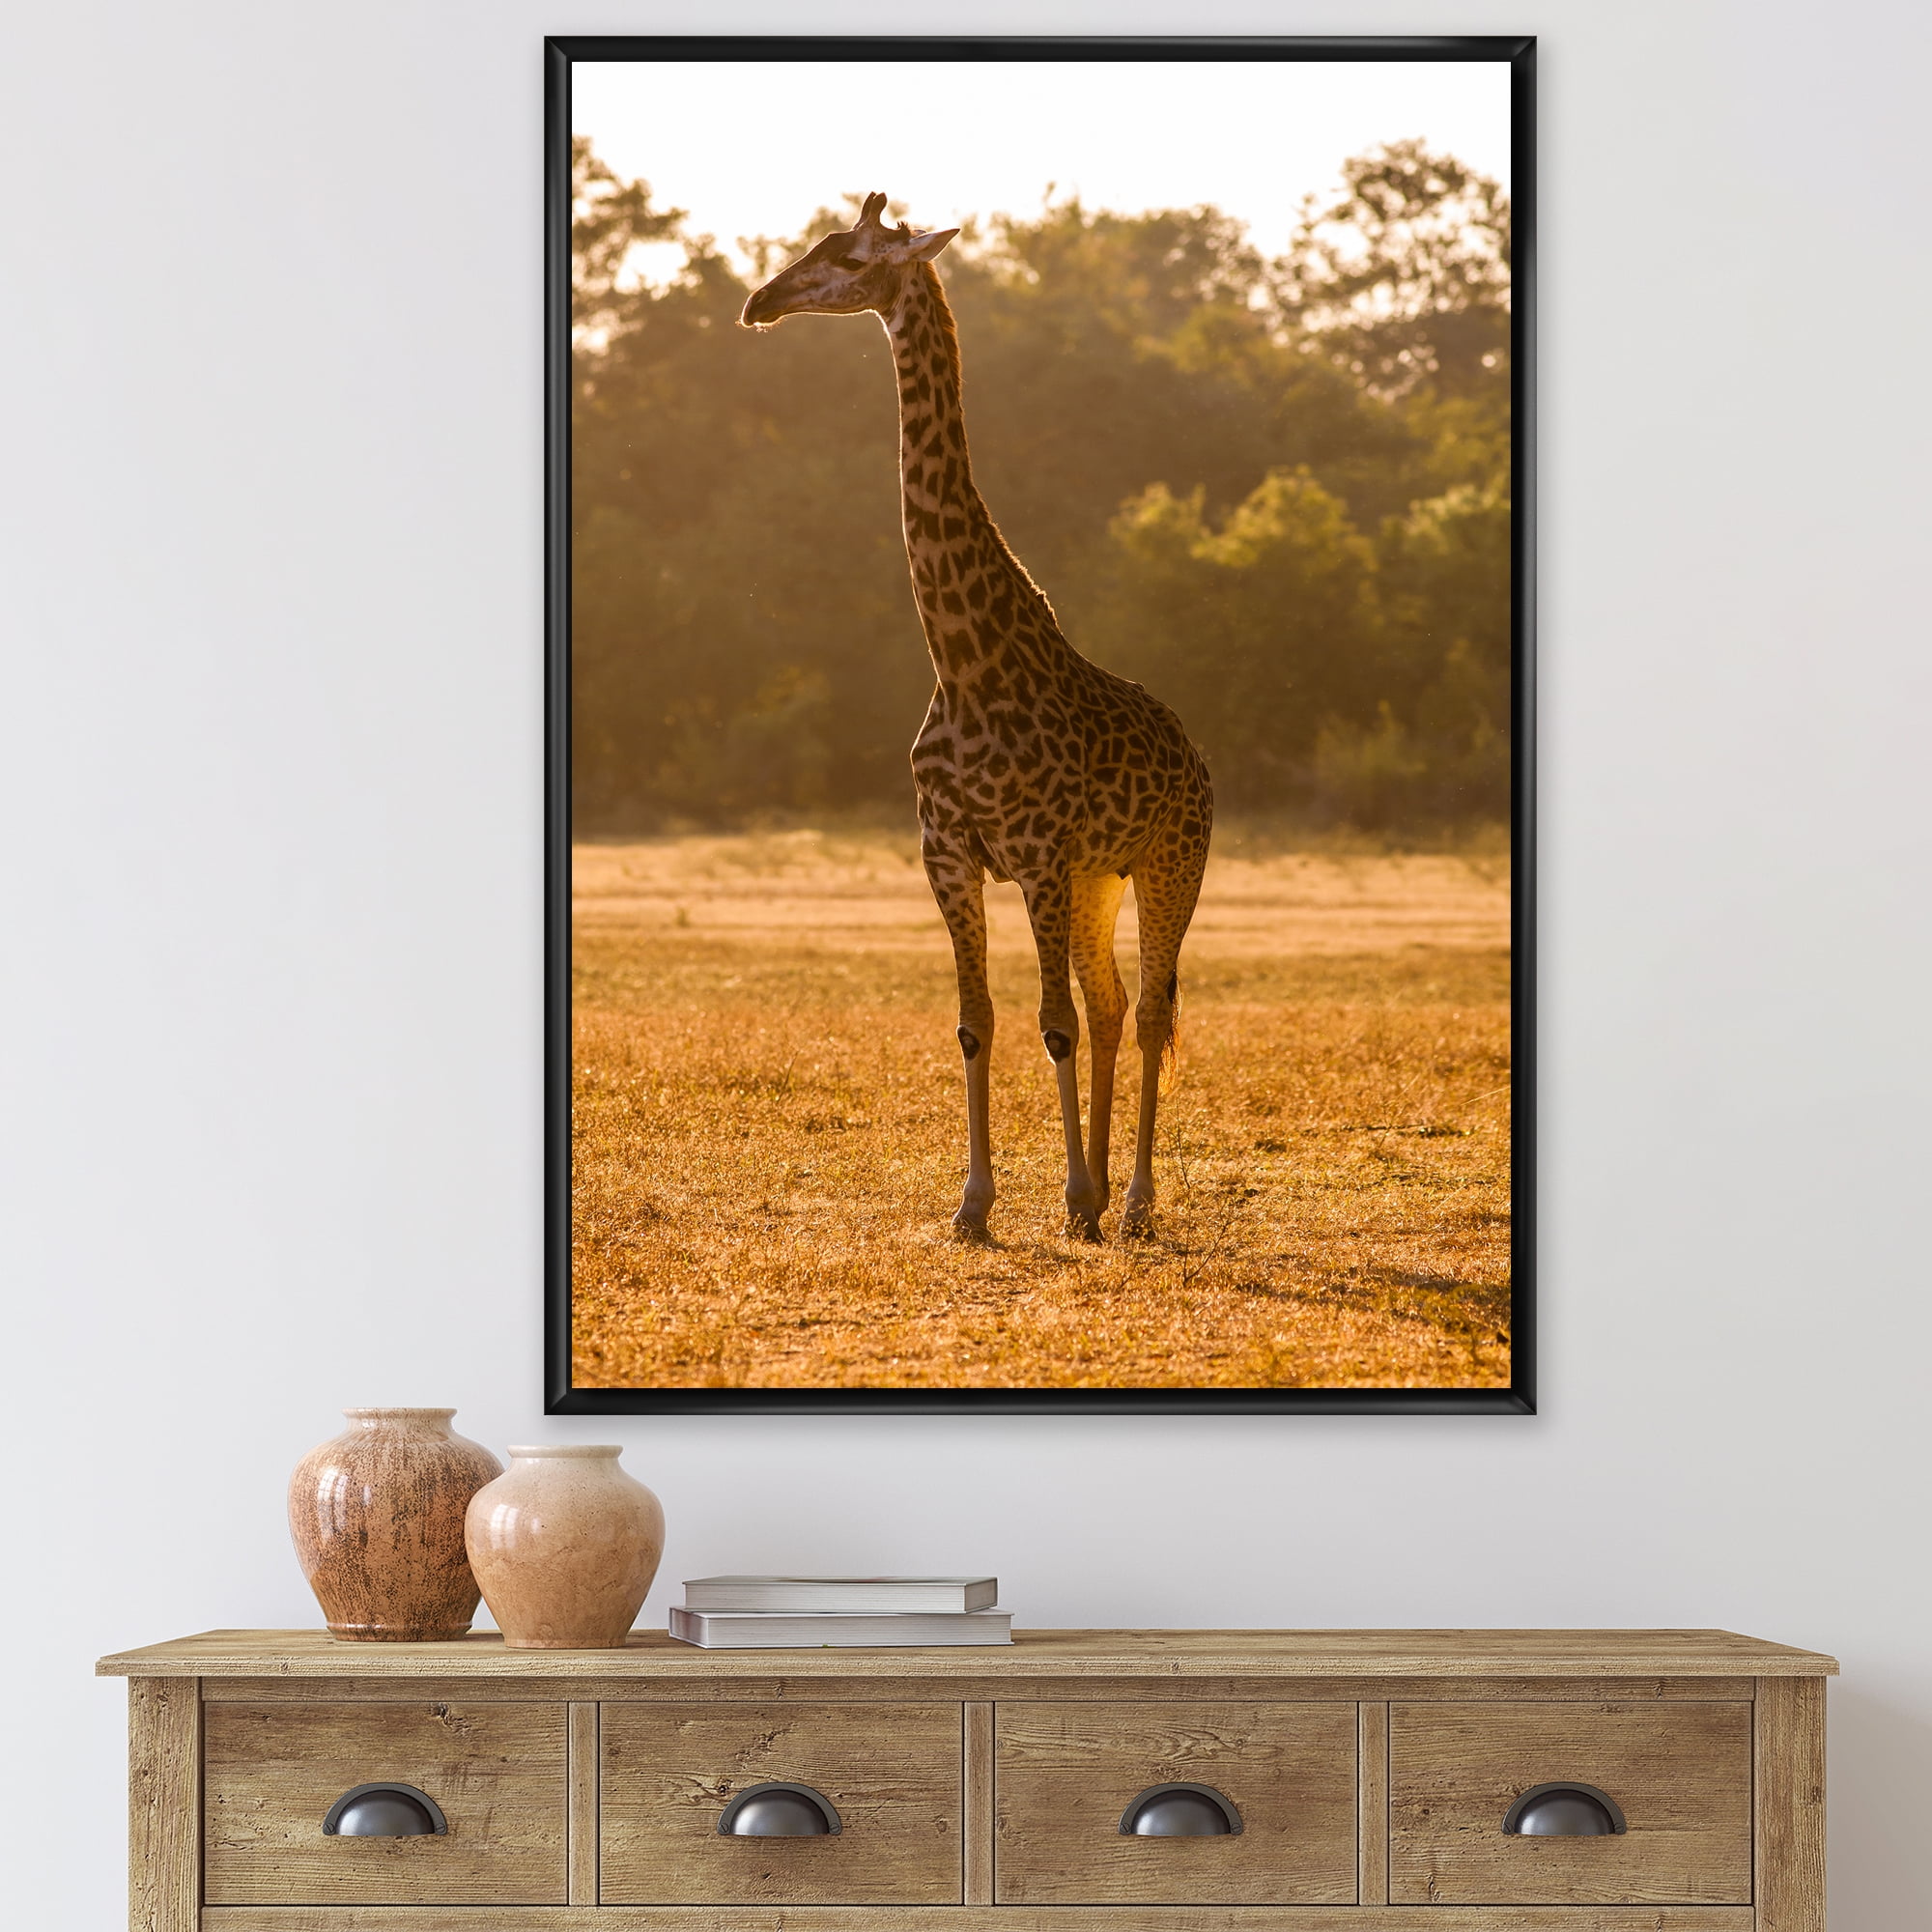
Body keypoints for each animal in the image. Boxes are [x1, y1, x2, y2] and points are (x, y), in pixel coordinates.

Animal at [741, 194, 1213, 1243]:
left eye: (850, 257)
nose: (760, 301)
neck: (961, 662)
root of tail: (1197, 754)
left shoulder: (1033, 854)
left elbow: (1050, 1025)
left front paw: (1070, 1195)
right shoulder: (950, 854)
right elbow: (978, 1021)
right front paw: (977, 1203)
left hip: (1169, 862)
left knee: (1149, 1010)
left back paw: (1130, 1201)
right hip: (1097, 878)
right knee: (1112, 1001)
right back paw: (1103, 1189)